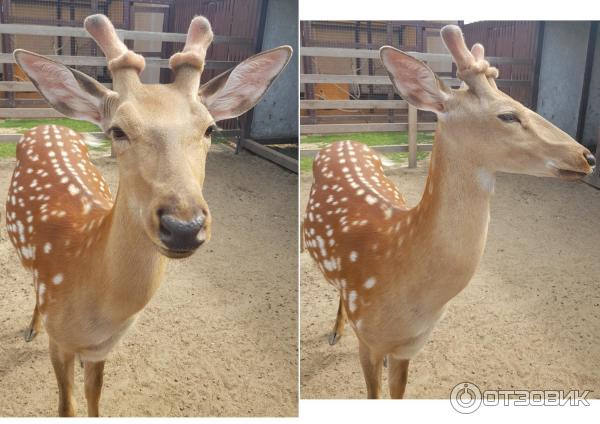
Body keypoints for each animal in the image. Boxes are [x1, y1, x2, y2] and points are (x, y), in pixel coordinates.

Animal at [5, 14, 292, 418]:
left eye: (210, 128)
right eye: (118, 130)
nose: (183, 226)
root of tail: (51, 124)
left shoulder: (104, 348)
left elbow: (95, 398)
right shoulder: (59, 342)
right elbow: (66, 407)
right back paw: (32, 326)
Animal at [304, 24, 596, 400]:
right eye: (508, 114)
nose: (587, 156)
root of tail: (344, 140)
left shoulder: (411, 346)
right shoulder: (367, 341)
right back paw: (336, 331)